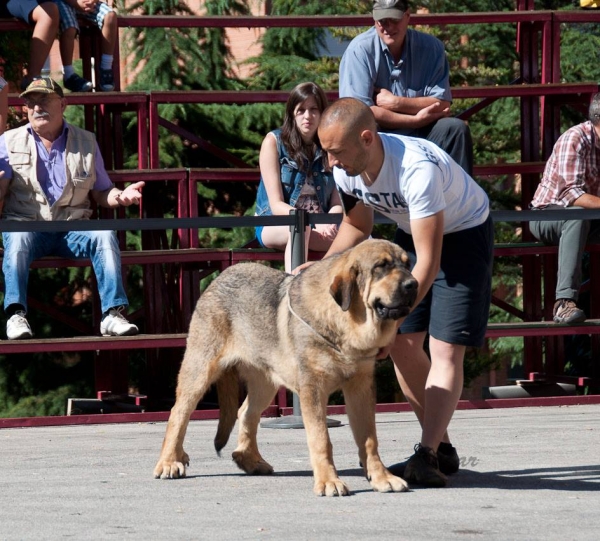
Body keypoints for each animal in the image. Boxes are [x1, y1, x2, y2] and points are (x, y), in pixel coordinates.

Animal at [154, 238, 418, 496]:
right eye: (381, 266)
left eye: (407, 264)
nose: (413, 284)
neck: (347, 323)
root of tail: (218, 279)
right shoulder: (313, 389)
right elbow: (321, 438)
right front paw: (329, 481)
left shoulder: (360, 388)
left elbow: (369, 439)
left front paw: (382, 477)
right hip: (200, 370)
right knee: (178, 413)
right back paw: (169, 461)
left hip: (265, 383)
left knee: (246, 412)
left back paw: (250, 461)